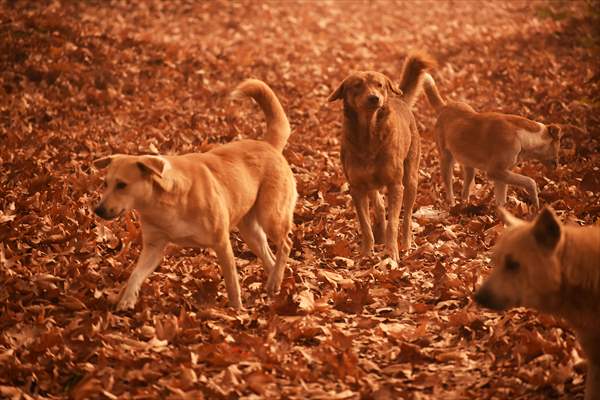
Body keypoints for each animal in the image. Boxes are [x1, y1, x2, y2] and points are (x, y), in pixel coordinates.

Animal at [94, 78, 298, 310]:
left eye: (122, 185)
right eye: (105, 183)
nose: (98, 210)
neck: (164, 202)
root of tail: (267, 144)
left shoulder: (221, 243)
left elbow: (231, 282)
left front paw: (237, 310)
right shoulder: (154, 247)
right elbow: (135, 274)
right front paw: (127, 299)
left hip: (270, 215)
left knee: (286, 244)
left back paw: (275, 279)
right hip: (250, 230)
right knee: (270, 257)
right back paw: (274, 283)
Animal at [330, 51, 434, 260]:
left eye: (379, 85)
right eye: (357, 85)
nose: (374, 98)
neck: (368, 135)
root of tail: (400, 100)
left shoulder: (395, 185)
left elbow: (394, 222)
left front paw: (391, 253)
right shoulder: (357, 187)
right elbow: (365, 224)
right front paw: (366, 253)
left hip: (410, 178)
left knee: (407, 215)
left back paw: (406, 243)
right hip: (371, 183)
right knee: (378, 206)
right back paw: (379, 232)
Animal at [422, 73, 564, 208]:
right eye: (558, 145)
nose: (557, 166)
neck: (522, 136)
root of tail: (444, 106)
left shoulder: (502, 175)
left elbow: (501, 200)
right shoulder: (495, 171)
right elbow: (530, 182)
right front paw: (536, 205)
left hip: (469, 167)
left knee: (465, 190)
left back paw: (464, 205)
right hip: (446, 160)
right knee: (449, 188)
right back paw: (452, 204)